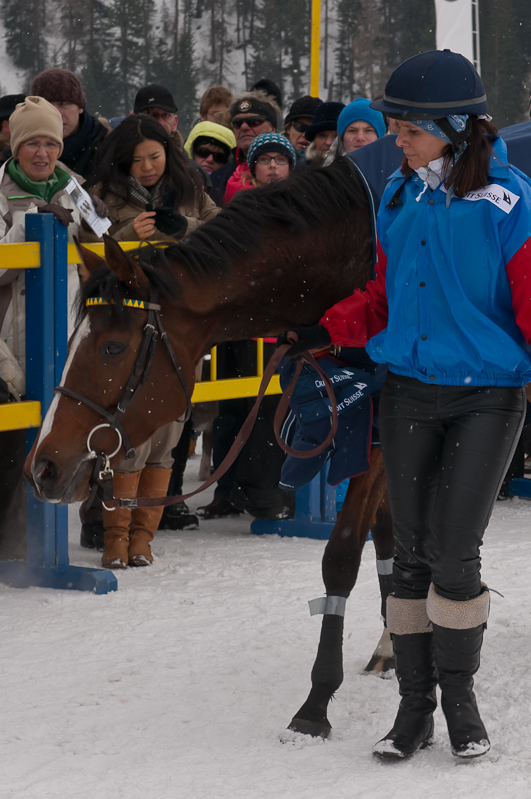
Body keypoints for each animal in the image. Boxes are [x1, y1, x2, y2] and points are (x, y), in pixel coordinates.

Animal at [26, 158, 394, 744]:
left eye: (112, 347)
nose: (43, 466)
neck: (357, 255)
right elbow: (393, 534)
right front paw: (394, 645)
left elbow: (343, 556)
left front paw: (317, 703)